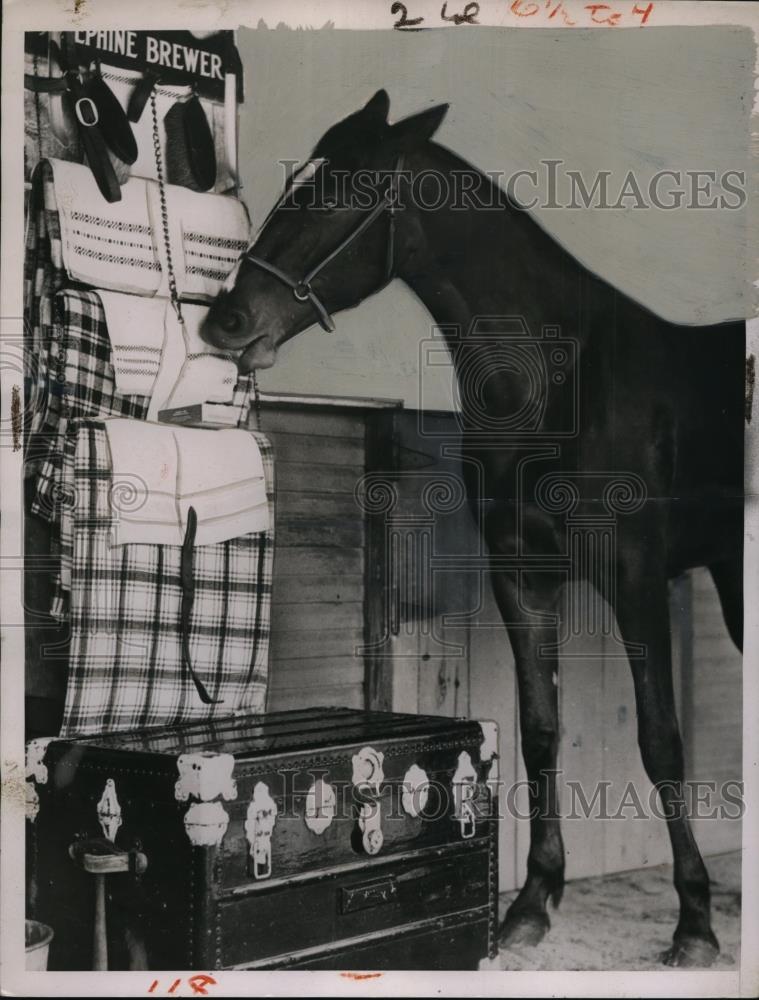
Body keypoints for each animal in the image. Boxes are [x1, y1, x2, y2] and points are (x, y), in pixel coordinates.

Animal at [200, 90, 744, 964]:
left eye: (344, 188)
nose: (225, 321)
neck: (560, 376)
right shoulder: (521, 575)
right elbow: (540, 729)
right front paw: (530, 904)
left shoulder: (634, 578)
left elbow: (661, 738)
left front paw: (692, 922)